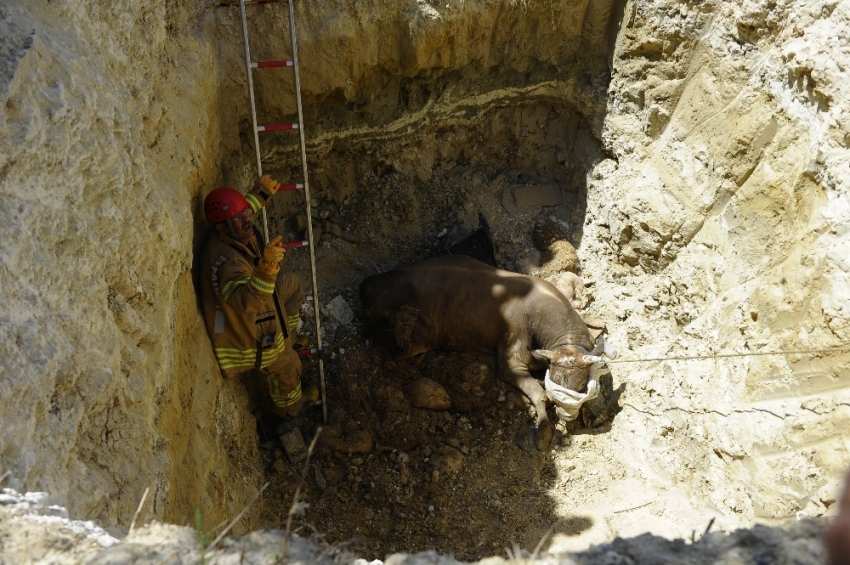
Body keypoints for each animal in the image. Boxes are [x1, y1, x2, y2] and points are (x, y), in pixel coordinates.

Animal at [358, 253, 608, 452]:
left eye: (580, 385)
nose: (566, 416)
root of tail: (368, 284)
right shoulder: (509, 364)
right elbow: (540, 394)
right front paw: (544, 432)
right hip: (414, 338)